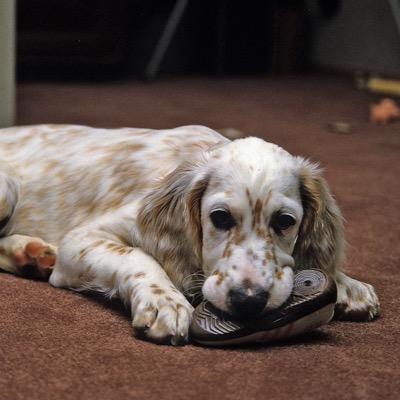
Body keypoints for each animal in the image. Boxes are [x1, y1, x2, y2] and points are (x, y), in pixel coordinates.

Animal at [0, 124, 380, 344]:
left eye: (285, 221)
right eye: (220, 217)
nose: (248, 301)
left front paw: (347, 284)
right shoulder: (82, 239)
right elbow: (138, 256)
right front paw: (163, 301)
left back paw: (31, 254)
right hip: (7, 187)